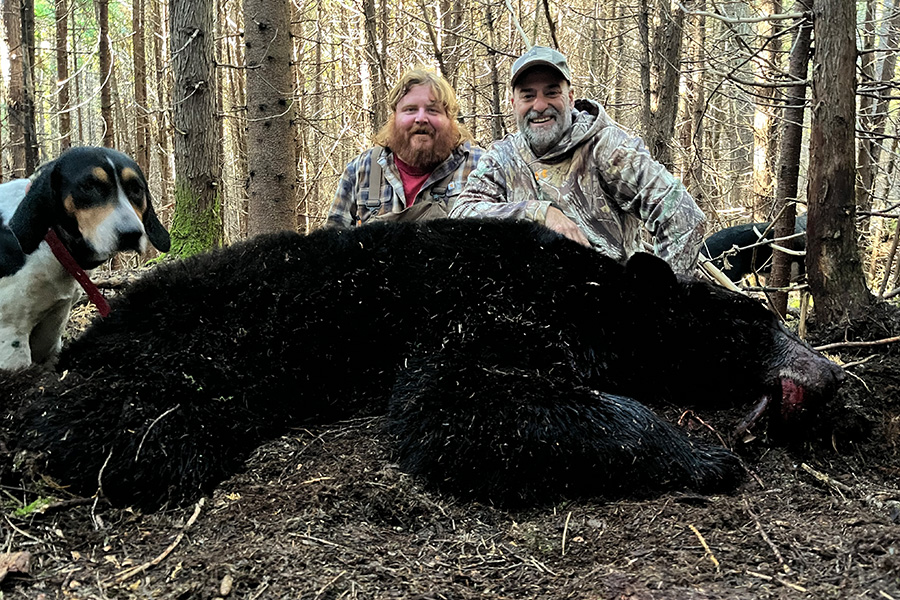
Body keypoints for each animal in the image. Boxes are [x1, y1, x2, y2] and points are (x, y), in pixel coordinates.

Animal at [4, 218, 844, 511]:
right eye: (758, 321)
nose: (833, 376)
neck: (584, 292)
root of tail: (98, 331)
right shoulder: (485, 305)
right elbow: (458, 402)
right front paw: (704, 455)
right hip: (196, 348)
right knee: (128, 425)